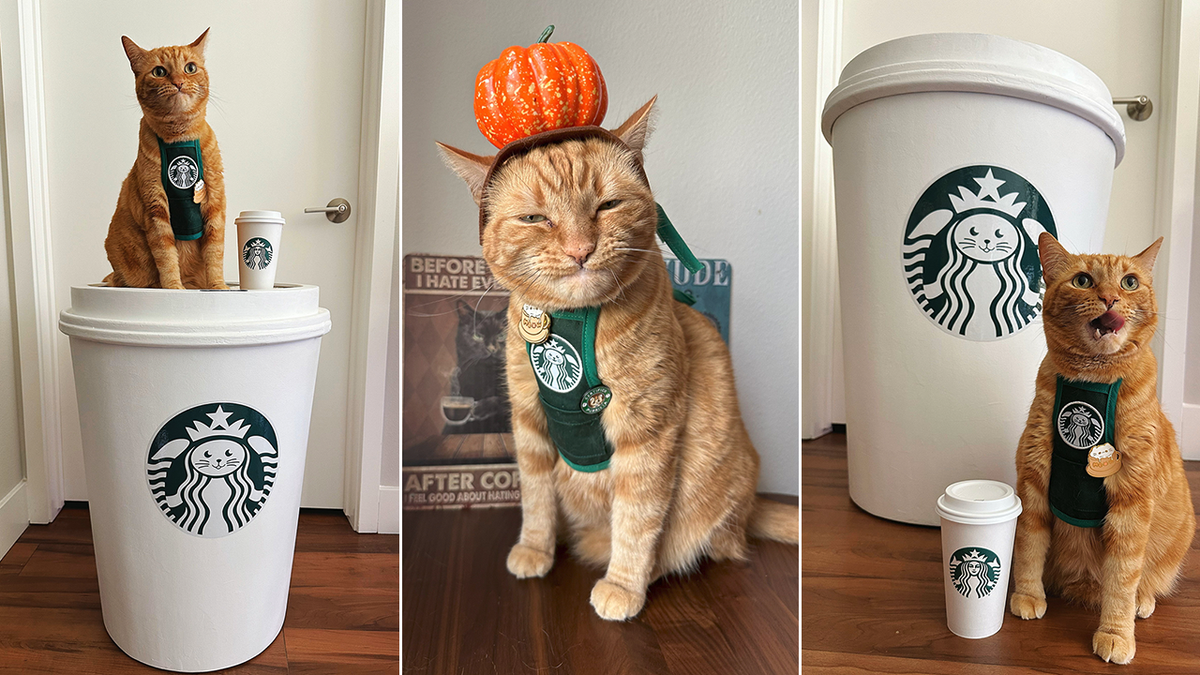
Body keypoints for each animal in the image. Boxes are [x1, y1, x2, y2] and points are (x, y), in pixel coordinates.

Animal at [103, 28, 226, 288]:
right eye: (159, 72)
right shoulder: (156, 208)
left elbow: (215, 253)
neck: (180, 138)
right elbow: (167, 258)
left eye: (190, 68)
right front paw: (174, 289)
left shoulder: (215, 201)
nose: (178, 82)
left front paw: (219, 287)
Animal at [439, 97, 796, 619]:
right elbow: (536, 499)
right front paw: (536, 548)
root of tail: (751, 507)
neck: (574, 320)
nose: (580, 250)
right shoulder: (528, 422)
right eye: (535, 219)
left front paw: (624, 585)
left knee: (709, 543)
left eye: (607, 205)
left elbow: (637, 517)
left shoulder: (647, 433)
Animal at [1008, 233, 1195, 662]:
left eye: (1129, 282)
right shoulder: (1034, 476)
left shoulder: (1132, 502)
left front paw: (1116, 633)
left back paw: (1142, 602)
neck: (1091, 380)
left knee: (1143, 582)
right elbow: (1028, 545)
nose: (1110, 298)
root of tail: (1084, 587)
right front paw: (1028, 595)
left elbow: (1123, 577)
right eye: (1082, 280)